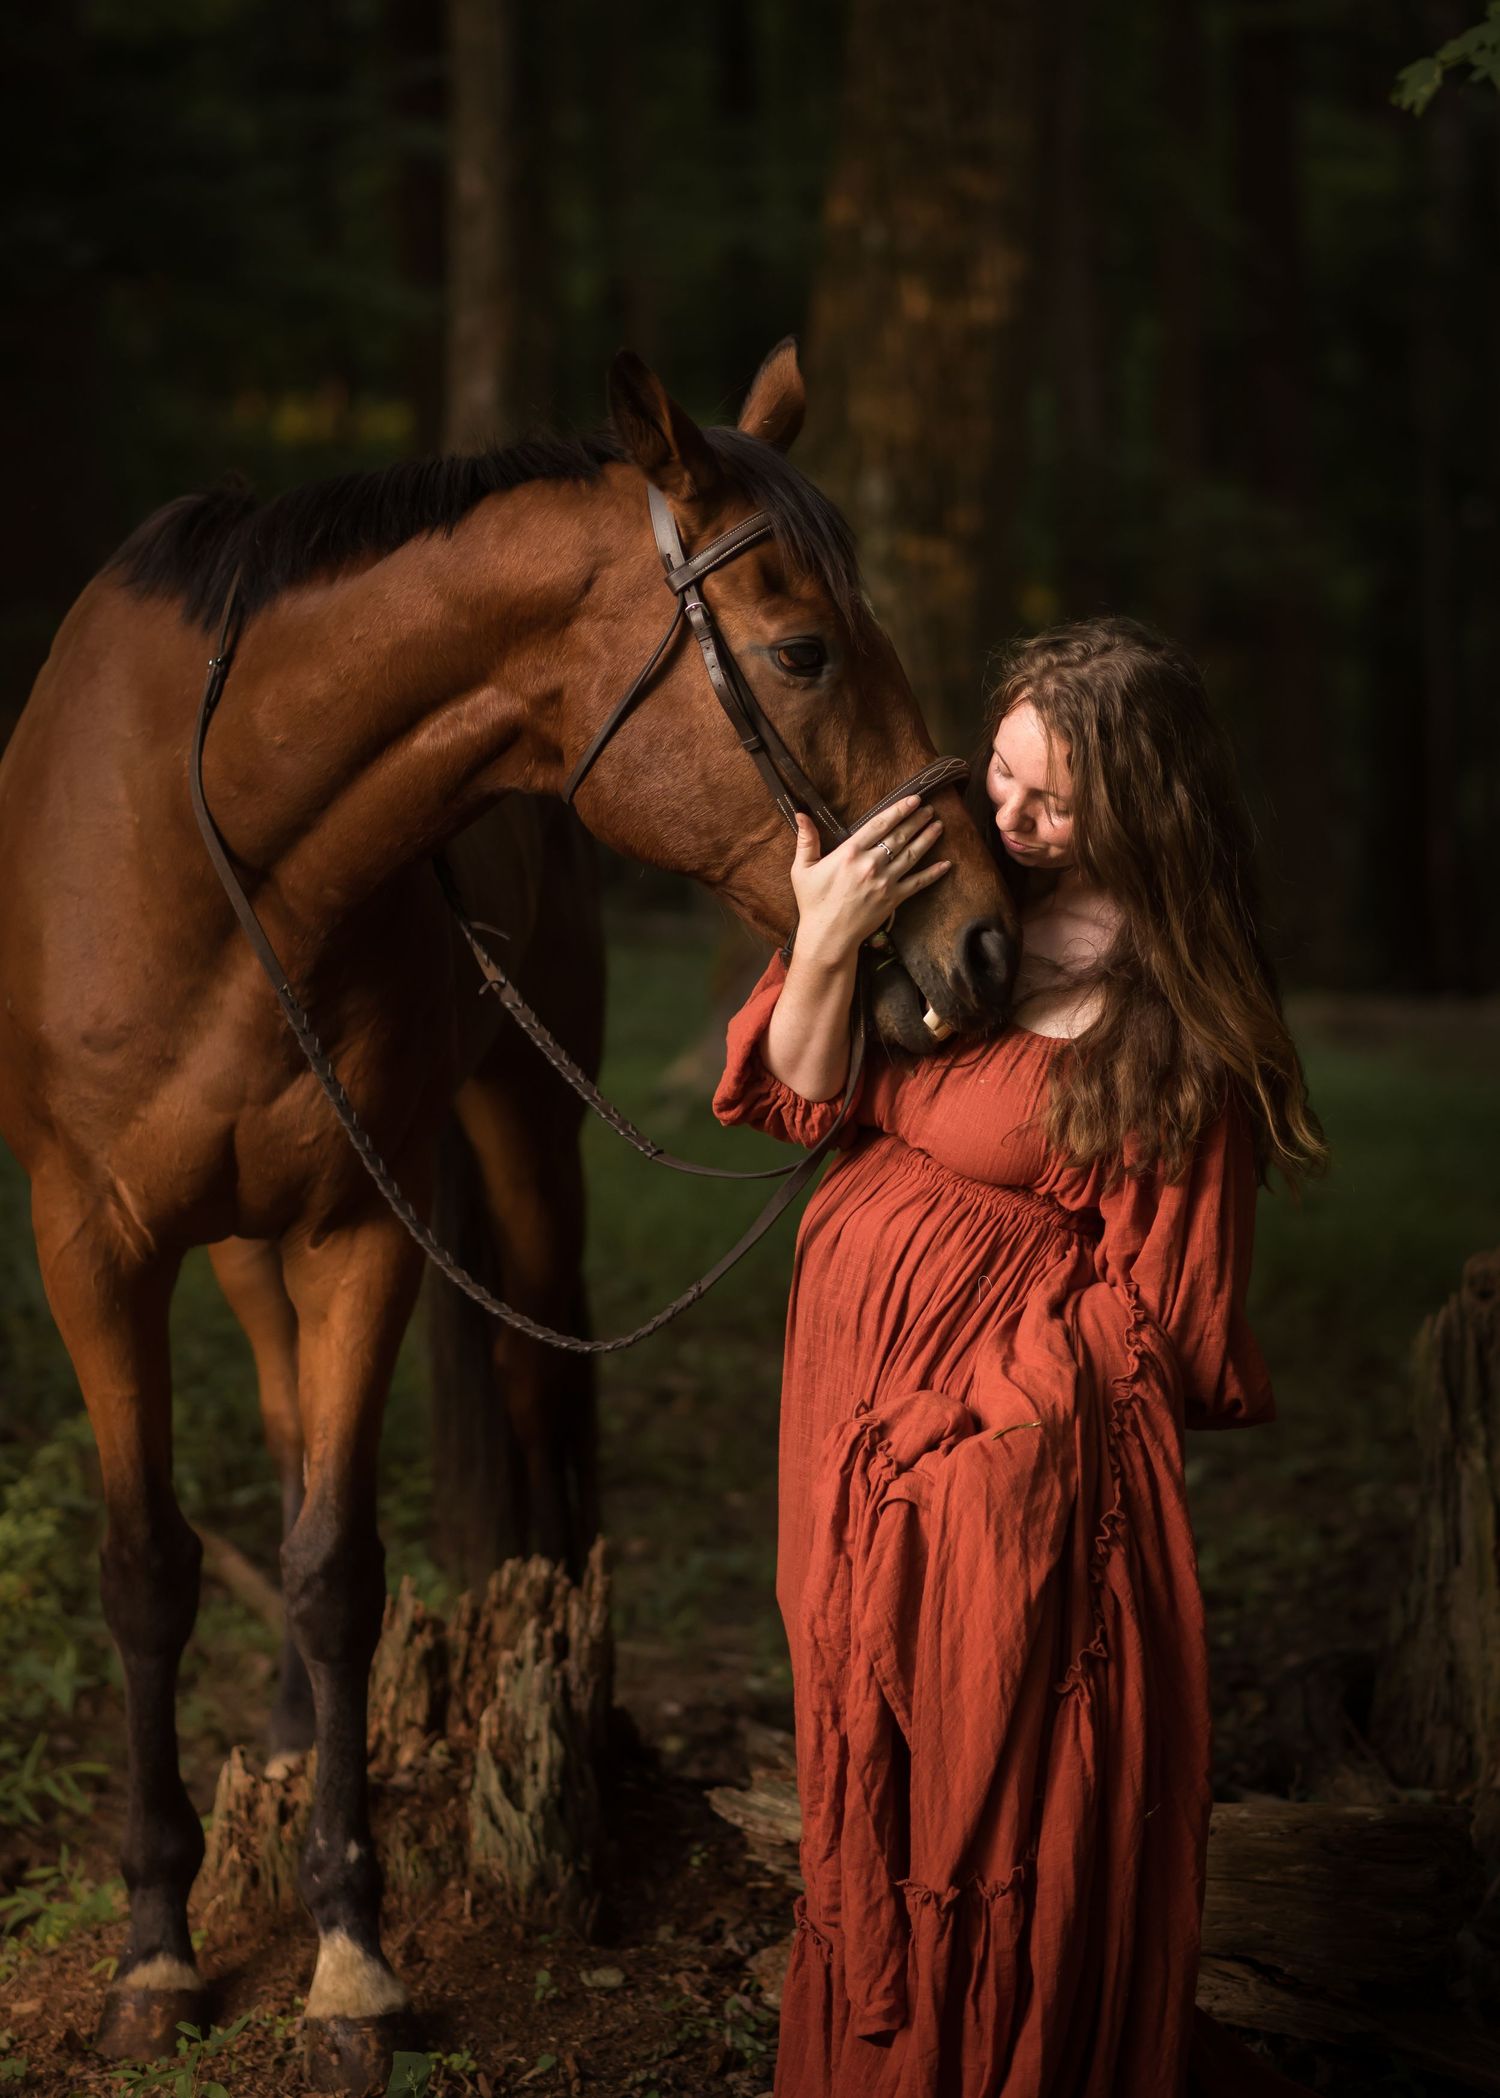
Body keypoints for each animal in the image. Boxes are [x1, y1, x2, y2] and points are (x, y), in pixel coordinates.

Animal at [0, 338, 1017, 2085]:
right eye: (804, 649)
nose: (986, 938)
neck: (207, 845)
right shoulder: (95, 1246)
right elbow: (150, 1566)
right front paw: (157, 1942)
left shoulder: (363, 1227)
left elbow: (340, 1566)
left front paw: (350, 1951)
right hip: (251, 1242)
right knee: (287, 1430)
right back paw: (284, 1734)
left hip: (522, 1143)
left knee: (542, 1388)